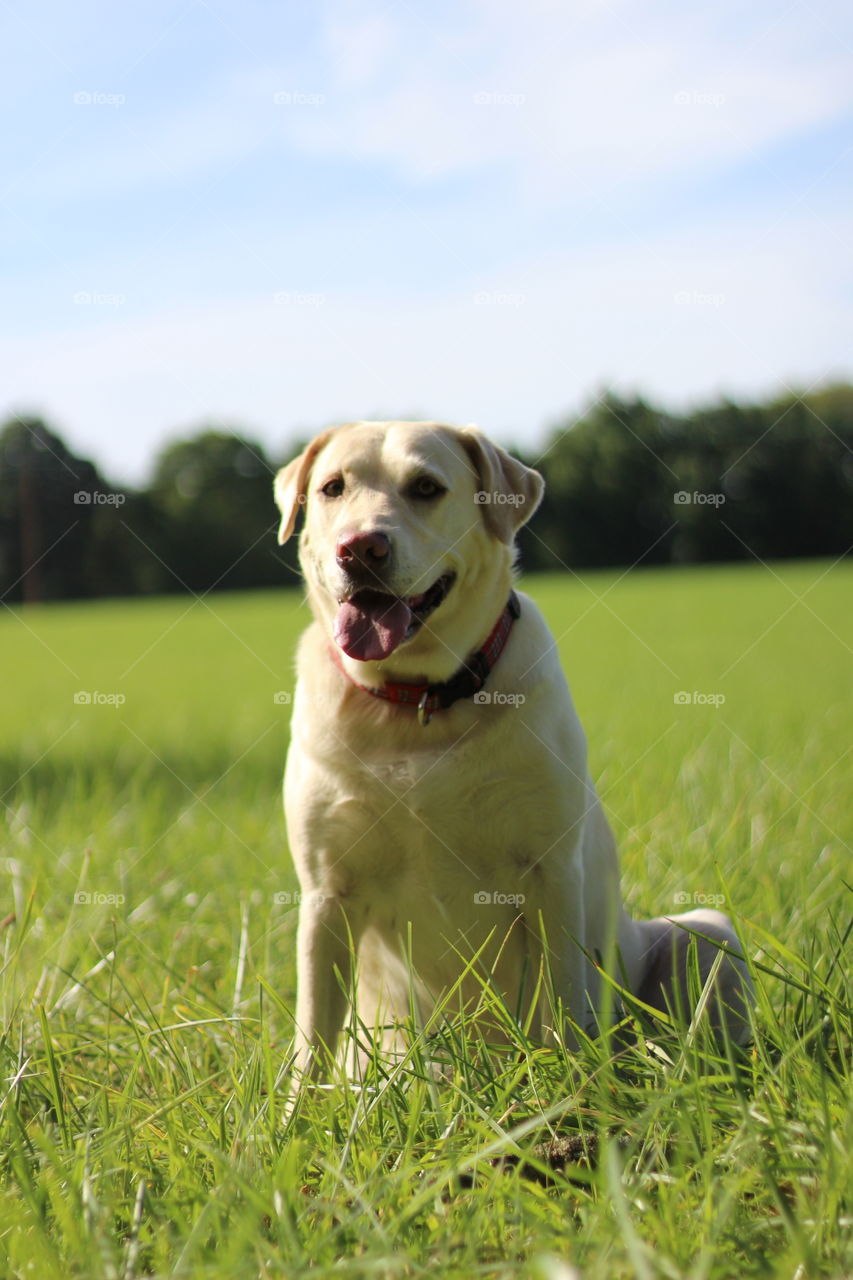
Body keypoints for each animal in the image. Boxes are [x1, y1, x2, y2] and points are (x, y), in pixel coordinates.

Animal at [274, 419, 753, 1080]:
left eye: (426, 487)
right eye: (332, 488)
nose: (360, 547)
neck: (418, 703)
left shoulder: (549, 872)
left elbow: (563, 1004)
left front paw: (574, 1091)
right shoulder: (326, 893)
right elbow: (313, 1037)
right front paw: (297, 1107)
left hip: (707, 932)